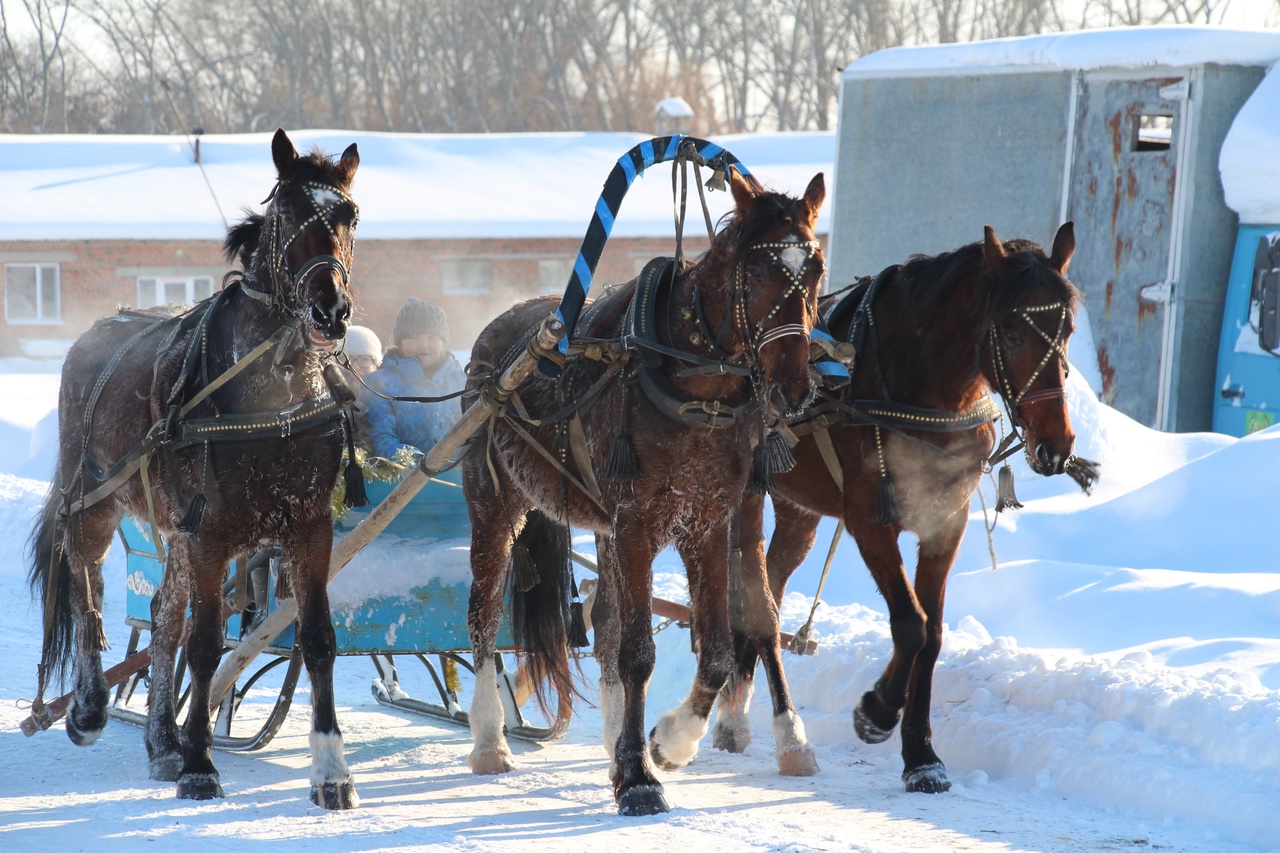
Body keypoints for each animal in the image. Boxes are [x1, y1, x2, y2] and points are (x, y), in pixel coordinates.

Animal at [27, 129, 366, 809]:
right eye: (288, 213)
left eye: (350, 215)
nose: (331, 311)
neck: (272, 396)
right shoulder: (211, 533)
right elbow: (206, 645)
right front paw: (201, 764)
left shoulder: (308, 528)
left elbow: (317, 640)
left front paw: (330, 770)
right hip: (96, 503)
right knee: (85, 584)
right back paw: (90, 706)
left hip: (174, 530)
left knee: (162, 618)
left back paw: (161, 739)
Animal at [465, 167, 824, 809]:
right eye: (757, 272)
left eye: (815, 271)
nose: (793, 387)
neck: (696, 388)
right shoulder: (635, 520)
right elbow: (637, 653)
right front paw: (638, 778)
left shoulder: (710, 521)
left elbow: (719, 649)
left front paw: (665, 743)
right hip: (495, 505)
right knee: (483, 616)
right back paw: (489, 741)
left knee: (607, 620)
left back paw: (617, 741)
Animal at [711, 224, 1090, 788]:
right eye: (1011, 333)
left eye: (1065, 329)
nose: (1055, 445)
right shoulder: (870, 520)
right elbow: (909, 623)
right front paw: (877, 710)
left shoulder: (946, 521)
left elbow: (931, 634)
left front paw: (922, 755)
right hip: (747, 496)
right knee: (752, 599)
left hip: (799, 511)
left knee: (768, 592)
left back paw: (738, 712)